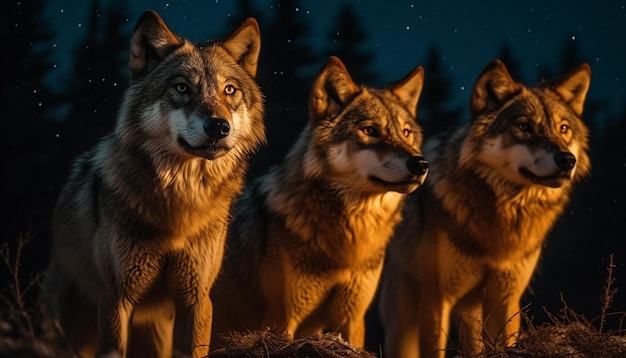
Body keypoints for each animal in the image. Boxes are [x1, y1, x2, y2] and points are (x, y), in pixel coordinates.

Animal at [40, 11, 266, 358]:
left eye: (229, 90)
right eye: (182, 88)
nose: (218, 126)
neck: (179, 199)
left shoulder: (196, 299)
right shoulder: (116, 297)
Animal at [210, 56, 428, 350]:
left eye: (405, 133)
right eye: (369, 130)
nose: (420, 164)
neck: (346, 242)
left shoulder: (352, 318)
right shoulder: (282, 317)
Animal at [376, 57, 588, 356]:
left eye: (564, 128)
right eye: (524, 126)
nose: (567, 159)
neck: (503, 214)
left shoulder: (507, 298)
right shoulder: (437, 297)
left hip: (471, 311)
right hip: (403, 318)